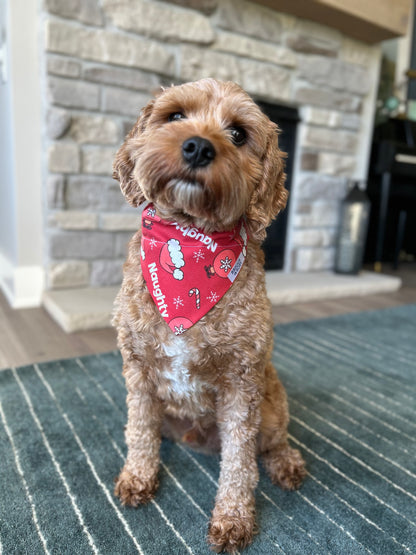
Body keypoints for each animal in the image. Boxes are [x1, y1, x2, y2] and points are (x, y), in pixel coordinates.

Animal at [112, 79, 304, 555]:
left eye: (238, 133)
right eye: (176, 116)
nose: (198, 146)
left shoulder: (242, 383)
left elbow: (239, 461)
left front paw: (233, 518)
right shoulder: (138, 372)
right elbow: (139, 430)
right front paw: (138, 476)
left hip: (272, 401)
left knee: (272, 442)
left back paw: (287, 463)